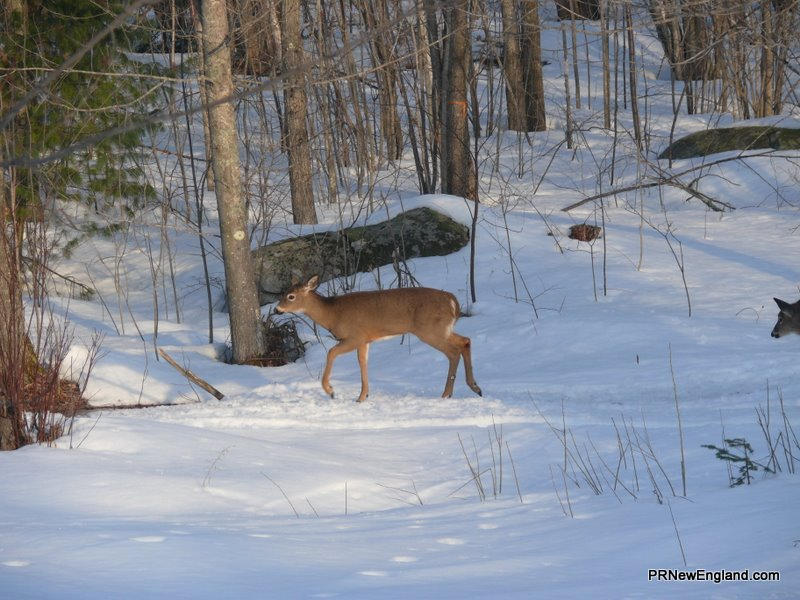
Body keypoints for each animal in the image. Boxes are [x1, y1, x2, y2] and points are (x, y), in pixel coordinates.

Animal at [274, 275, 482, 402]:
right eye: (283, 293)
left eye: (291, 296)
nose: (277, 309)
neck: (332, 313)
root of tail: (454, 302)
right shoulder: (365, 340)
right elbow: (363, 363)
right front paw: (362, 396)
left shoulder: (355, 335)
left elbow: (331, 353)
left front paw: (331, 391)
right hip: (442, 329)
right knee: (465, 341)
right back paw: (475, 387)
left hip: (430, 330)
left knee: (453, 352)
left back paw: (447, 393)